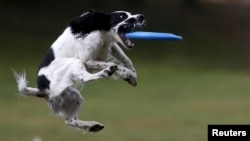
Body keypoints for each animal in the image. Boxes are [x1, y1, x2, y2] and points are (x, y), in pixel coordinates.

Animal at [14, 9, 145, 133]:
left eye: (130, 13)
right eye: (122, 16)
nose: (141, 16)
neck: (100, 34)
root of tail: (41, 88)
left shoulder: (111, 47)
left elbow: (125, 58)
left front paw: (132, 75)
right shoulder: (87, 61)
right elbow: (114, 65)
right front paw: (127, 73)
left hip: (73, 95)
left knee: (70, 120)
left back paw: (93, 126)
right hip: (74, 63)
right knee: (85, 78)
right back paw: (106, 72)